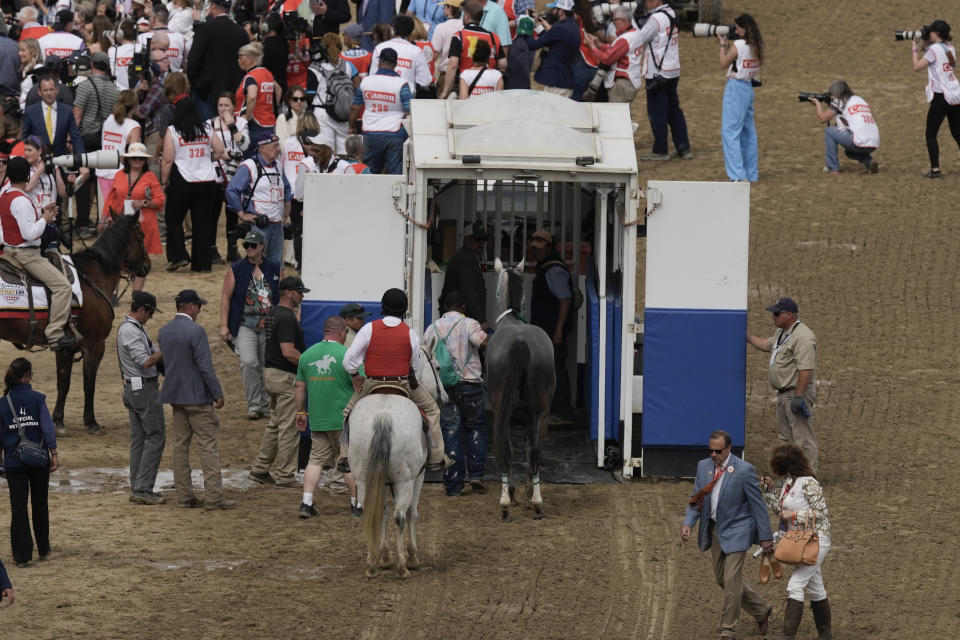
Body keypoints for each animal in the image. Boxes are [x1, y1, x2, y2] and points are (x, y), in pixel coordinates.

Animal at [0, 216, 149, 436]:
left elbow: (63, 382)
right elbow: (89, 385)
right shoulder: (94, 346)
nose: (147, 265)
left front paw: (58, 420)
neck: (93, 279)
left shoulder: (65, 348)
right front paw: (91, 421)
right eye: (141, 235)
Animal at [348, 348, 446, 576]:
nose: (444, 397)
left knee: (373, 513)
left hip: (364, 478)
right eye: (437, 367)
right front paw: (412, 557)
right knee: (400, 516)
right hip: (405, 481)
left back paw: (372, 563)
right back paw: (402, 566)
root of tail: (384, 415)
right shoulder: (418, 477)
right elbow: (412, 514)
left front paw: (384, 556)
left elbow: (381, 514)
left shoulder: (381, 481)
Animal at [488, 256, 556, 520]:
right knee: (536, 448)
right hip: (541, 407)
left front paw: (515, 492)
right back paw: (536, 501)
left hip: (509, 408)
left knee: (507, 448)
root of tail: (520, 342)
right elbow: (528, 444)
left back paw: (509, 501)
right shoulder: (527, 409)